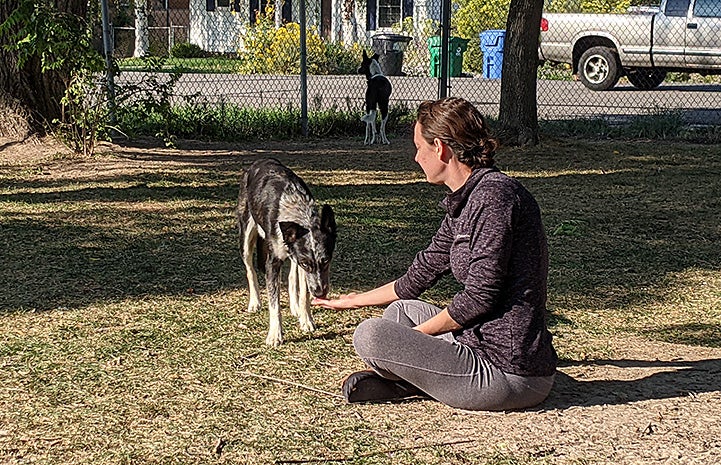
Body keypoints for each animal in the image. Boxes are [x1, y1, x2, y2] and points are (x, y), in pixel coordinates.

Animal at [236, 159, 338, 344]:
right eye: (306, 263)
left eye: (326, 260)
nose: (320, 292)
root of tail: (258, 162)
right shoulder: (275, 263)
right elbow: (274, 303)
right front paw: (275, 334)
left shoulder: (302, 263)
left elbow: (304, 293)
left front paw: (306, 320)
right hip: (246, 237)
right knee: (250, 270)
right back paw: (255, 302)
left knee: (292, 277)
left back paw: (295, 306)